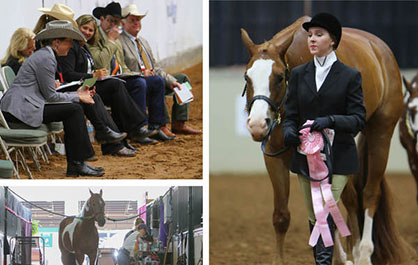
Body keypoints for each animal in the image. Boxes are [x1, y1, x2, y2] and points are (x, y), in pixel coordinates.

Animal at [240, 16, 410, 262]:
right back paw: (350, 254)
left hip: (380, 134)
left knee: (369, 193)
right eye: (247, 76)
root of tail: (381, 49)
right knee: (349, 198)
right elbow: (282, 216)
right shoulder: (274, 157)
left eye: (279, 77)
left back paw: (363, 254)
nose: (257, 125)